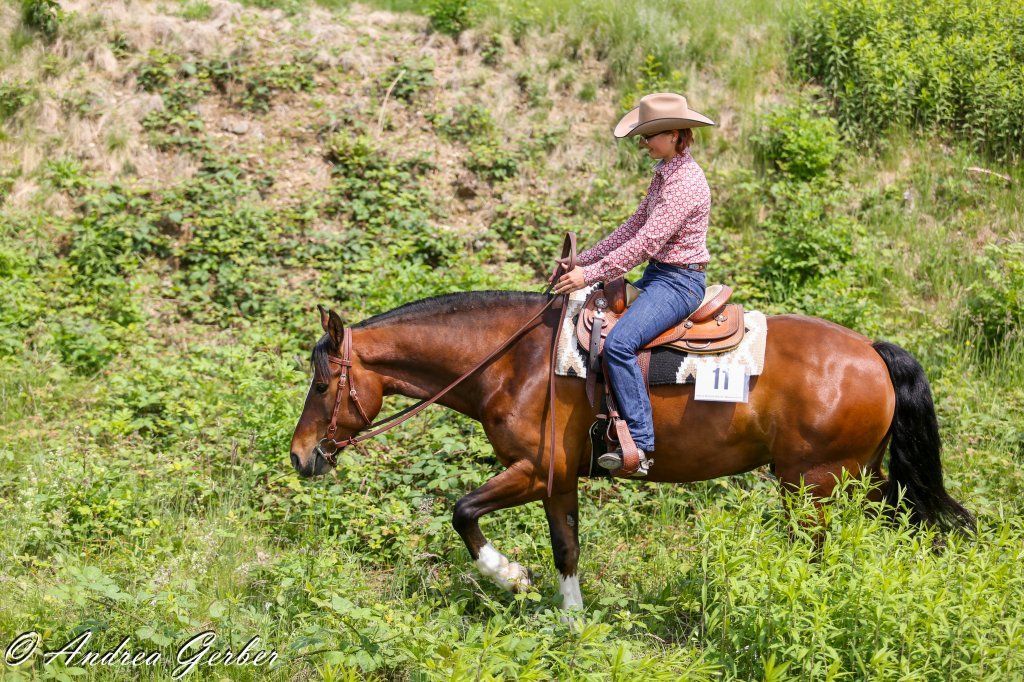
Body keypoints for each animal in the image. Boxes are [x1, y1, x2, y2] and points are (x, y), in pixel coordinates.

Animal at [289, 289, 974, 610]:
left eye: (322, 384)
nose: (299, 456)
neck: (514, 363)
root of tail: (872, 352)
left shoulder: (536, 470)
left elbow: (462, 511)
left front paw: (509, 575)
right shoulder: (560, 481)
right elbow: (566, 548)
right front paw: (570, 618)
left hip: (812, 485)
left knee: (820, 551)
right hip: (859, 480)